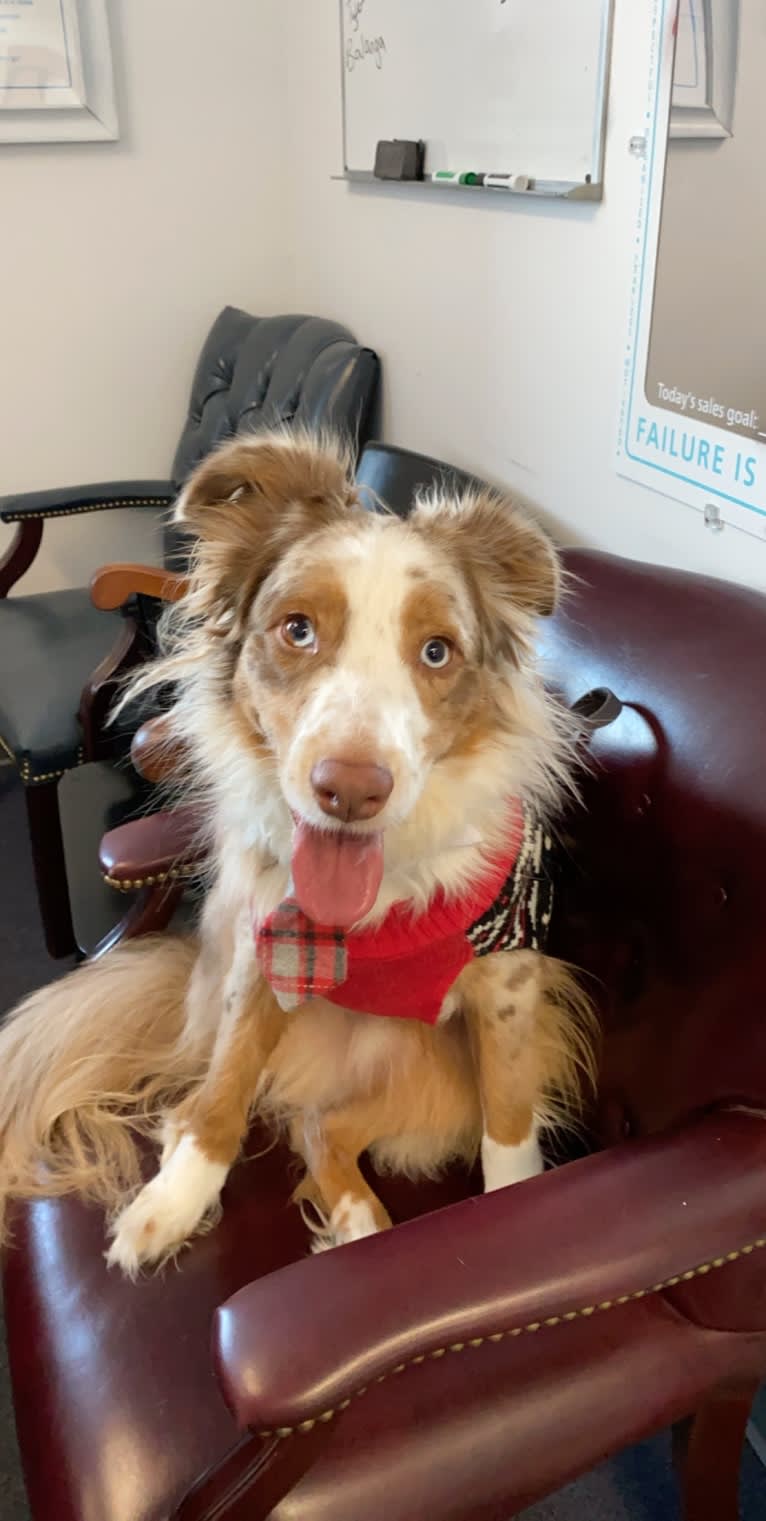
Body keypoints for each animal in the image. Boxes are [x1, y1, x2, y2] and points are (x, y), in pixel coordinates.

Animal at [0, 431, 595, 1271]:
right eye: (298, 629)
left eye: (437, 652)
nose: (349, 789)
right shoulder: (263, 946)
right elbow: (223, 1092)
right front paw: (172, 1204)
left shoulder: (510, 987)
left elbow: (509, 1128)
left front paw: (520, 1211)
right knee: (229, 1101)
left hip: (437, 1067)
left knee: (324, 1126)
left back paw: (360, 1223)